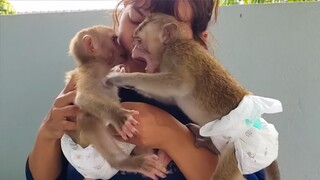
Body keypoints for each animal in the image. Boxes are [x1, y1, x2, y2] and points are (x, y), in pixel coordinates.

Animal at [65, 25, 168, 179]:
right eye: (114, 39)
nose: (122, 47)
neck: (98, 64)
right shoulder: (91, 71)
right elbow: (83, 98)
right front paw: (120, 117)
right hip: (86, 144)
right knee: (89, 120)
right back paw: (124, 162)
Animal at [106, 13, 282, 179]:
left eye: (145, 22)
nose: (134, 35)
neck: (173, 43)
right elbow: (170, 97)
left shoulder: (177, 55)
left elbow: (180, 84)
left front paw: (121, 77)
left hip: (238, 151)